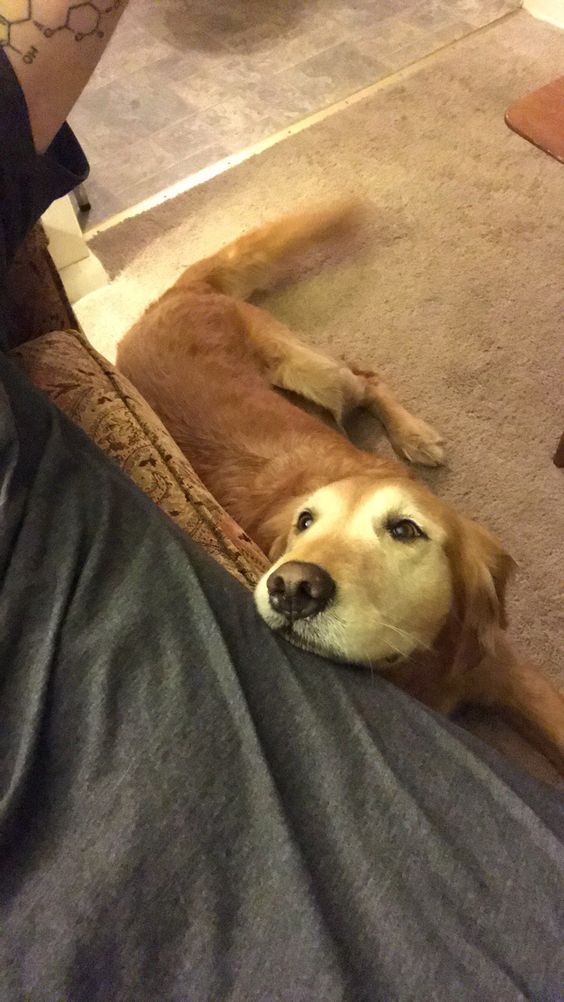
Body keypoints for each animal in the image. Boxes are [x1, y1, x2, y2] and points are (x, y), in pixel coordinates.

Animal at [115, 201, 564, 765]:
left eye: (405, 530)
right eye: (304, 522)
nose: (292, 587)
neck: (416, 660)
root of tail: (168, 297)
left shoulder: (503, 670)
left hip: (317, 371)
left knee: (367, 378)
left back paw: (415, 435)